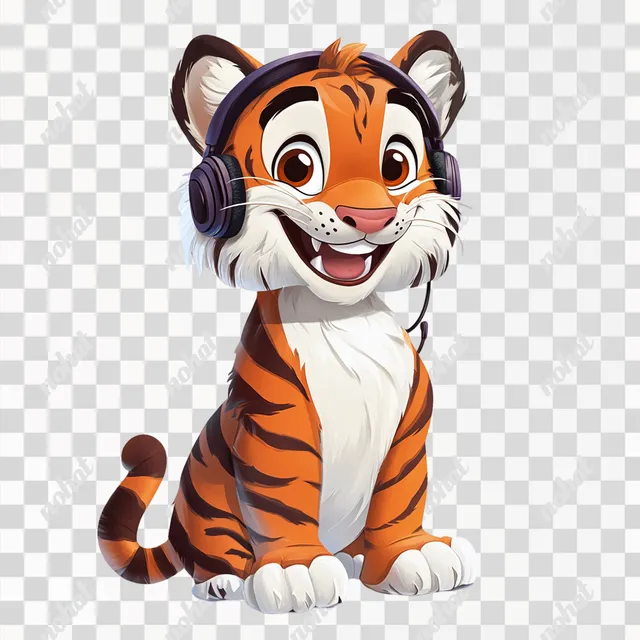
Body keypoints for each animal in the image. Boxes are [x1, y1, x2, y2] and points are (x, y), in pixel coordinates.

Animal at [98, 30, 477, 614]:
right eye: (298, 165)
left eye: (395, 164)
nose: (372, 216)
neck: (342, 314)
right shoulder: (277, 426)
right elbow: (283, 499)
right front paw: (299, 572)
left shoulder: (408, 429)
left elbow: (401, 496)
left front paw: (413, 554)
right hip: (204, 502)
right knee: (209, 553)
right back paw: (223, 581)